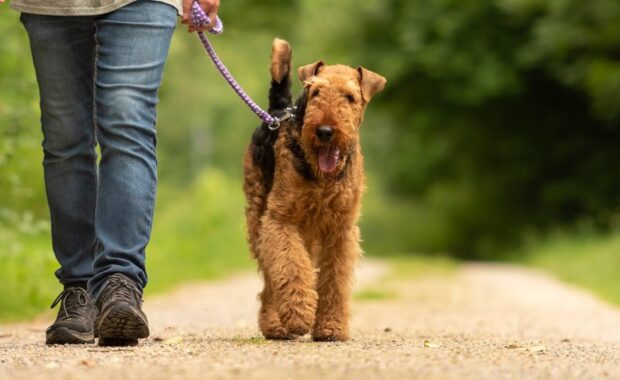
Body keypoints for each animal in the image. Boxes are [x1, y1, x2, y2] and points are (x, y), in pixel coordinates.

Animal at [243, 38, 386, 342]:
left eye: (350, 97)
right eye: (316, 91)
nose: (324, 131)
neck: (323, 178)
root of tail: (278, 110)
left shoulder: (341, 229)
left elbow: (334, 280)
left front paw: (331, 327)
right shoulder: (280, 220)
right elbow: (291, 268)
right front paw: (299, 316)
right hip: (259, 217)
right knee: (271, 277)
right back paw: (275, 324)